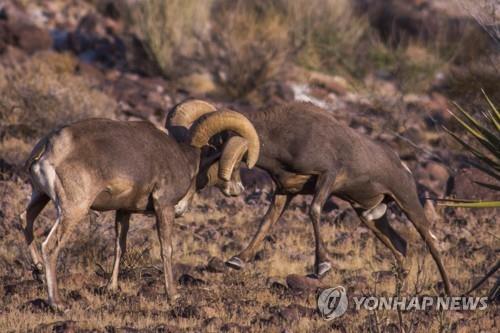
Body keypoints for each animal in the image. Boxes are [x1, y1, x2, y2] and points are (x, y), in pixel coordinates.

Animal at [20, 102, 260, 310]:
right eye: (237, 161)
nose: (238, 188)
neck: (187, 159)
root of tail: (48, 147)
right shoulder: (164, 207)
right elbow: (166, 249)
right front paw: (173, 295)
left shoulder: (123, 211)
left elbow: (119, 247)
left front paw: (112, 288)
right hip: (73, 209)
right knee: (50, 246)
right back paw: (57, 302)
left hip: (40, 196)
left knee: (24, 219)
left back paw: (38, 271)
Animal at [168, 99, 454, 294]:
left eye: (217, 151)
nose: (232, 189)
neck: (286, 138)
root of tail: (403, 167)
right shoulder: (286, 192)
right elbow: (265, 223)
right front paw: (237, 260)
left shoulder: (327, 176)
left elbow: (314, 211)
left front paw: (322, 267)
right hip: (369, 216)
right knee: (400, 246)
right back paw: (399, 292)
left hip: (408, 204)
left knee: (431, 243)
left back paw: (450, 293)